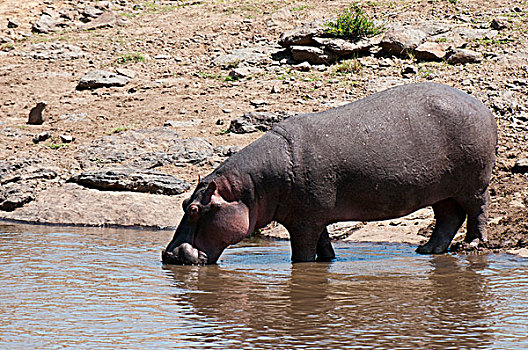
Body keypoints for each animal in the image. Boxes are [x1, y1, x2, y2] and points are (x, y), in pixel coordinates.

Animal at [163, 82, 498, 266]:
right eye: (183, 204)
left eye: (194, 209)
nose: (168, 255)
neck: (252, 189)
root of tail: (481, 106)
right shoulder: (313, 216)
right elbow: (324, 246)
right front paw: (329, 260)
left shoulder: (303, 223)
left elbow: (301, 254)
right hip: (442, 191)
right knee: (447, 218)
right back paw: (427, 250)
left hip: (474, 183)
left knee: (477, 210)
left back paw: (473, 244)